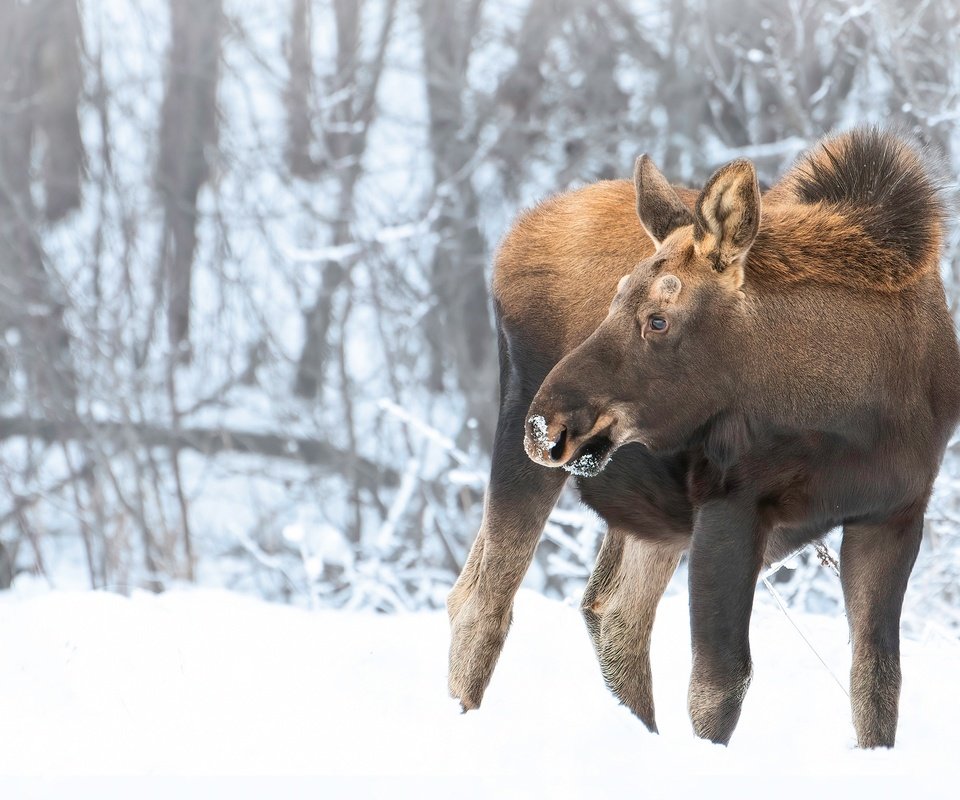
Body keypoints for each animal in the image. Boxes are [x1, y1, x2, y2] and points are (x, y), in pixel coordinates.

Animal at [448, 130, 960, 752]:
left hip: (645, 507)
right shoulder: (730, 502)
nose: (548, 422)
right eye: (614, 300)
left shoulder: (894, 514)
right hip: (528, 452)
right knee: (483, 601)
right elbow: (719, 686)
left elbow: (878, 687)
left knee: (611, 611)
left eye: (658, 319)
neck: (852, 417)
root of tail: (514, 237)